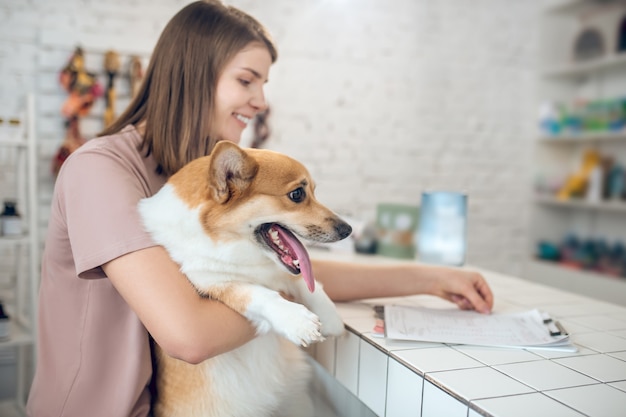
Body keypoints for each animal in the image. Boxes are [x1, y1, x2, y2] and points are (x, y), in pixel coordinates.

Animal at [138, 141, 352, 416]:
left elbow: (306, 283)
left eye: (314, 192)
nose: (348, 230)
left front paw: (331, 318)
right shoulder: (213, 282)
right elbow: (260, 294)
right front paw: (297, 321)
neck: (235, 246)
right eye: (297, 195)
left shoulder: (281, 270)